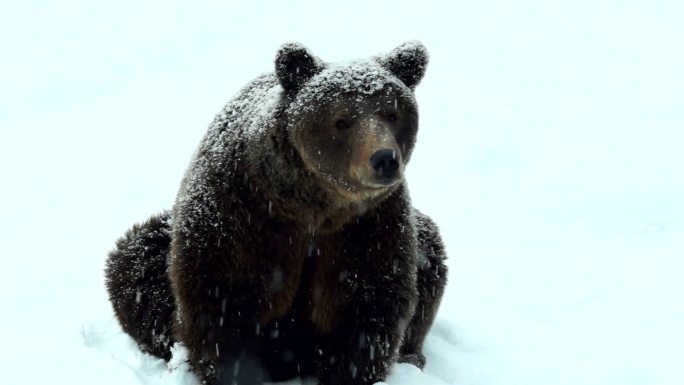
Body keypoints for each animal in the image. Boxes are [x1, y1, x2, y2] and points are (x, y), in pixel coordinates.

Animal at [105, 42, 448, 384]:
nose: (384, 159)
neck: (313, 205)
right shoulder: (244, 217)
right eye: (342, 121)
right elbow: (223, 300)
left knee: (430, 258)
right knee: (138, 262)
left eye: (392, 113)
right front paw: (234, 372)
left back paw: (412, 355)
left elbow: (367, 304)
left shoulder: (368, 225)